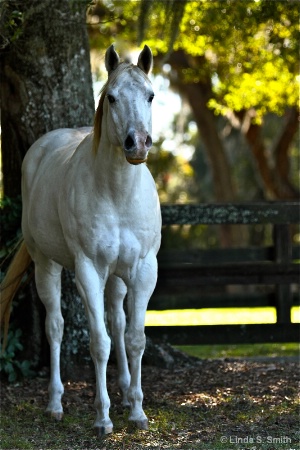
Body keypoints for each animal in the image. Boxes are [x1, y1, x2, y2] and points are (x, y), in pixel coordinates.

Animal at [0, 45, 162, 436]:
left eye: (151, 95)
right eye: (112, 97)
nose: (138, 143)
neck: (117, 193)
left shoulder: (144, 270)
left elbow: (134, 338)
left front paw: (137, 412)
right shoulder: (88, 270)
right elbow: (99, 343)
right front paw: (103, 418)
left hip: (117, 277)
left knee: (117, 321)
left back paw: (124, 393)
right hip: (47, 265)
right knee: (56, 327)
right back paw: (55, 404)